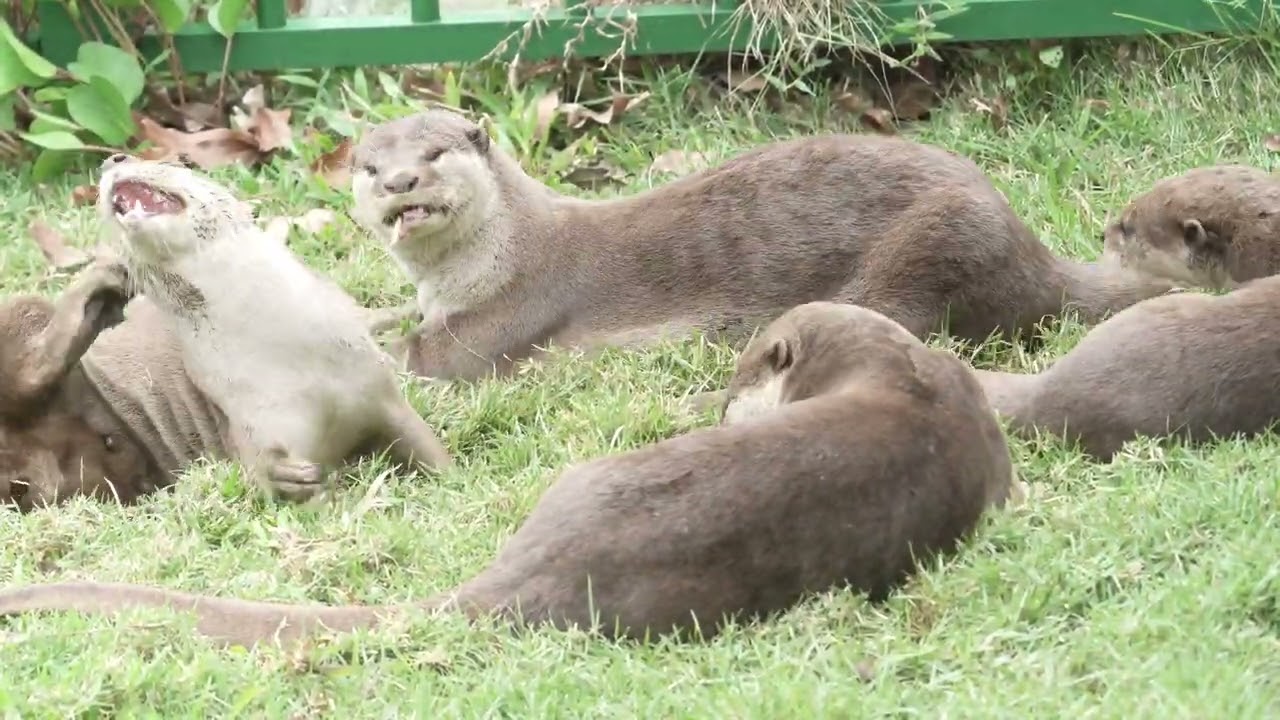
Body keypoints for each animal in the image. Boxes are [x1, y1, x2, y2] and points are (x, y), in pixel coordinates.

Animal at [95, 154, 452, 503]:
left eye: (178, 165)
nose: (111, 160)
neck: (293, 361)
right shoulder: (255, 422)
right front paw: (280, 475)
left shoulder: (381, 395)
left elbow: (427, 445)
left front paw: (450, 478)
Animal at [347, 108, 1181, 383]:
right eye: (368, 165)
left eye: (434, 153)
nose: (400, 183)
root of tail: (1027, 246)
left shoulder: (504, 315)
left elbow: (417, 359)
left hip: (933, 243)